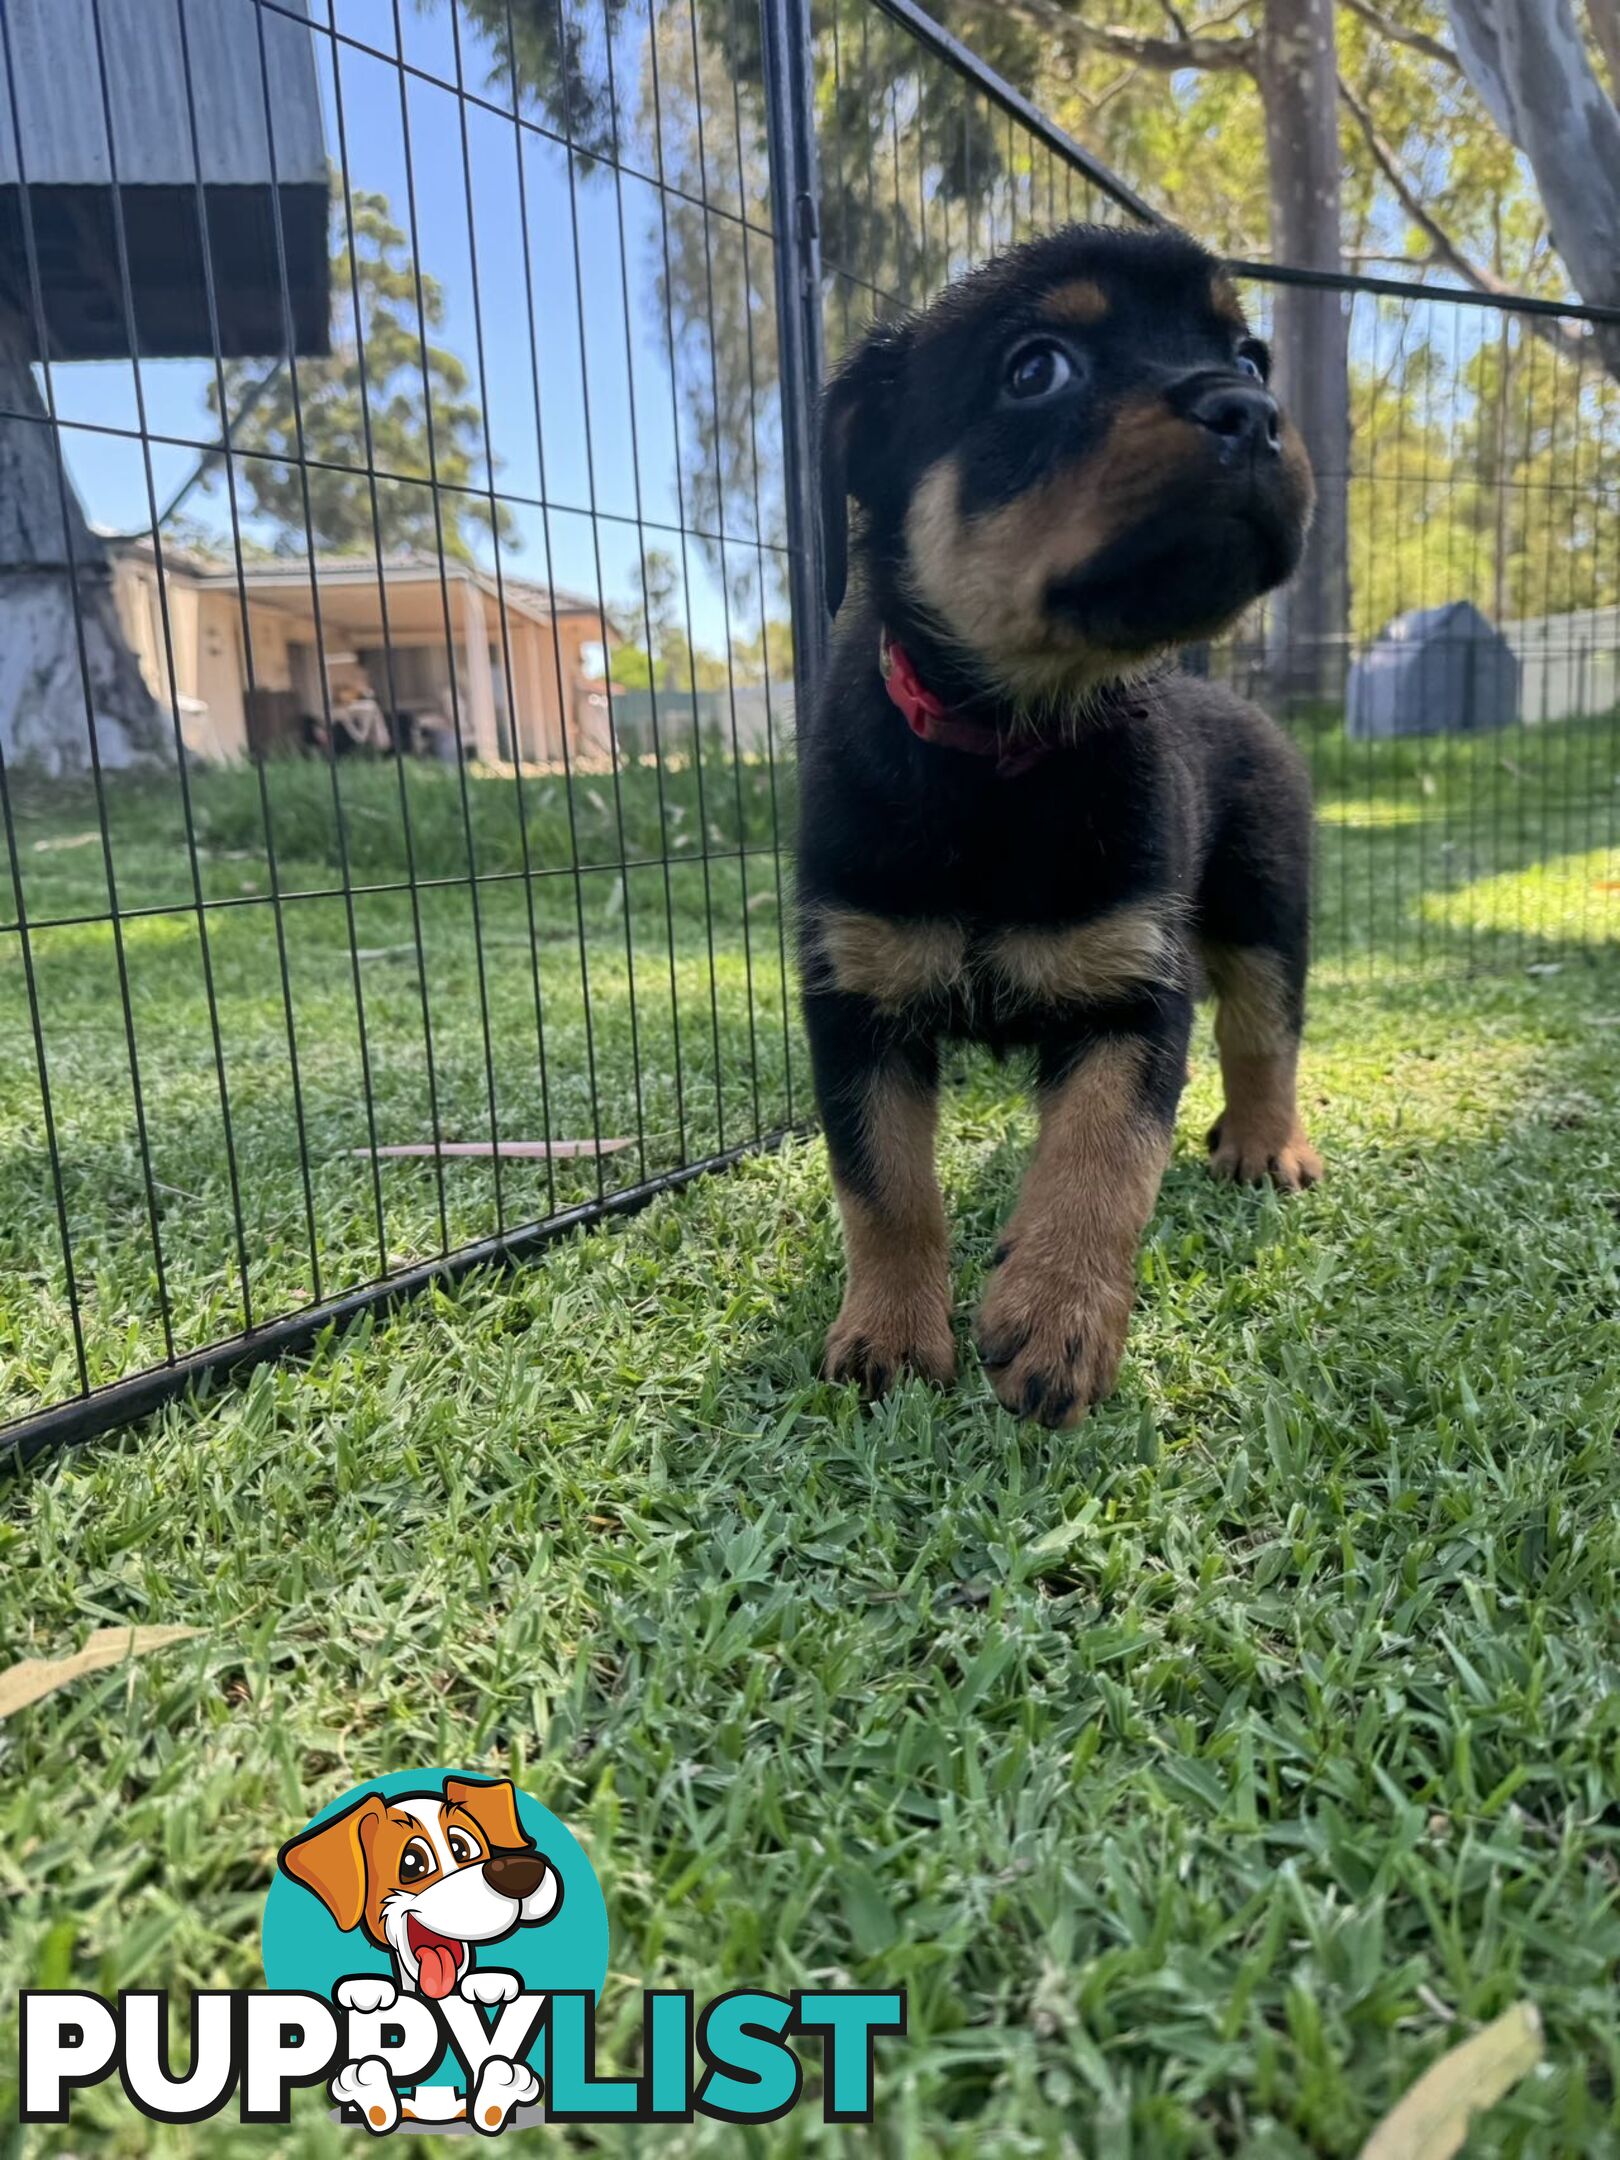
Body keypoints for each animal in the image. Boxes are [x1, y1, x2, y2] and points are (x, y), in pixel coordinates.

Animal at [799, 223, 1321, 1434]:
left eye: (1250, 354)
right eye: (1036, 371)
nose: (1254, 408)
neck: (1007, 746)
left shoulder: (1133, 988)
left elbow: (1102, 1159)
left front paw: (1058, 1319)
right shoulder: (854, 997)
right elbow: (883, 1184)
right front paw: (892, 1335)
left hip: (1266, 900)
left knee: (1265, 1030)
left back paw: (1268, 1145)